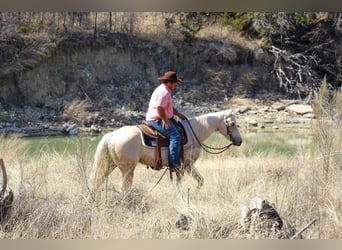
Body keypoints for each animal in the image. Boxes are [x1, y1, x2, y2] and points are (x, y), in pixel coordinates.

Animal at [89, 110, 243, 195]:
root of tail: (112, 134)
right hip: (127, 169)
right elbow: (182, 184)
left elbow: (200, 181)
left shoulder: (186, 166)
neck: (193, 133)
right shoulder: (185, 165)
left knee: (98, 182)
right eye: (232, 124)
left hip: (110, 165)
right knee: (124, 188)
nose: (239, 141)